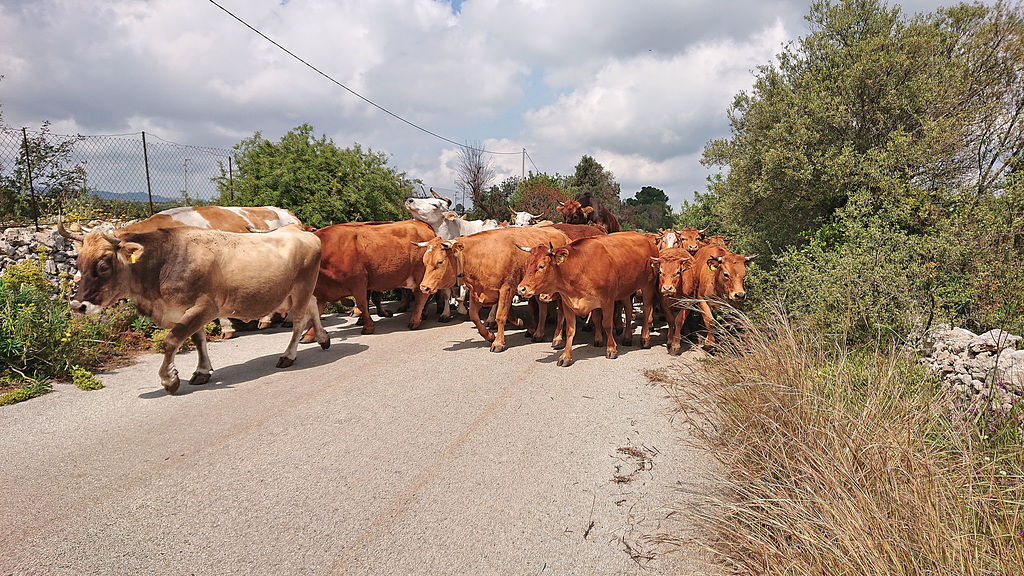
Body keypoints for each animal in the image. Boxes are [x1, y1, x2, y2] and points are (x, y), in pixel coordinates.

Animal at [417, 224, 573, 350]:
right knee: (542, 309)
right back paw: (538, 333)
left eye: (440, 261)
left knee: (558, 311)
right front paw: (490, 335)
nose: (424, 287)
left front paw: (498, 342)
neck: (482, 256)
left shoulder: (507, 288)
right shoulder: (477, 290)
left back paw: (555, 337)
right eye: (424, 261)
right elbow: (474, 316)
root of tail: (562, 234)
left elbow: (500, 316)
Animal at [520, 228, 655, 362]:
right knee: (628, 310)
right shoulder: (568, 303)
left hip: (648, 285)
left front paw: (611, 349)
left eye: (541, 266)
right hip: (625, 290)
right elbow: (571, 329)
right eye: (527, 264)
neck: (580, 267)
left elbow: (607, 324)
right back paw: (627, 338)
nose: (521, 288)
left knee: (646, 310)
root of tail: (648, 240)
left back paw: (645, 338)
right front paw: (565, 356)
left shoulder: (607, 301)